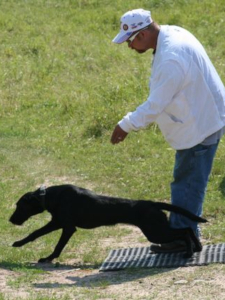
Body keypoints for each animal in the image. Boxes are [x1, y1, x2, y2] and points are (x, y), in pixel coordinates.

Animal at [9, 184, 206, 262]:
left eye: (19, 206)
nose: (10, 220)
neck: (50, 196)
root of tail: (151, 203)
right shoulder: (59, 224)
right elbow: (37, 234)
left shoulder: (66, 226)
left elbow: (48, 240)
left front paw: (46, 258)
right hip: (157, 229)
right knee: (188, 229)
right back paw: (197, 248)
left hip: (155, 232)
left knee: (185, 231)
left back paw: (189, 252)